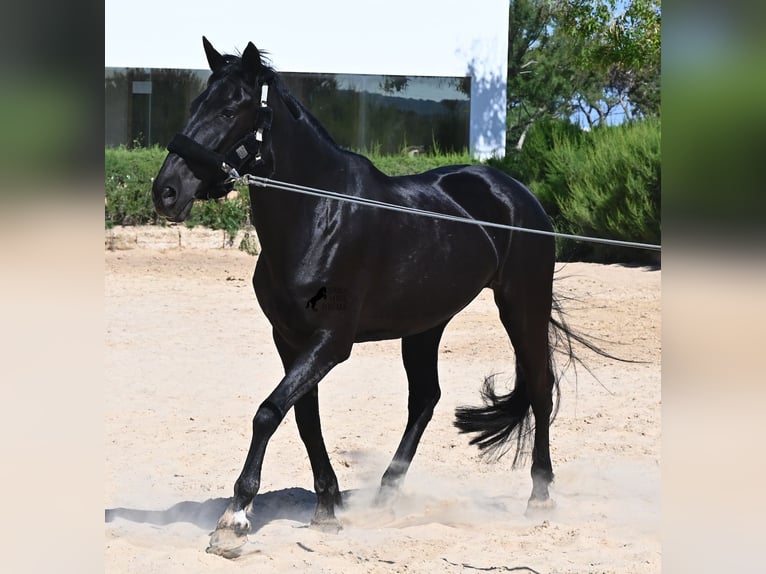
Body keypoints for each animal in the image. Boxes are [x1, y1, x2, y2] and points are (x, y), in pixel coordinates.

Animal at [152, 37, 598, 558]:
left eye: (229, 109)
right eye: (194, 105)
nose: (166, 192)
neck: (318, 214)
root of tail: (517, 192)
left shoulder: (331, 342)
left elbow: (268, 413)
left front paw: (235, 518)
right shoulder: (290, 340)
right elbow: (303, 419)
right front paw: (327, 508)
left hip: (522, 304)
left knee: (540, 389)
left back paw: (540, 496)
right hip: (426, 323)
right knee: (425, 398)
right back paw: (386, 495)